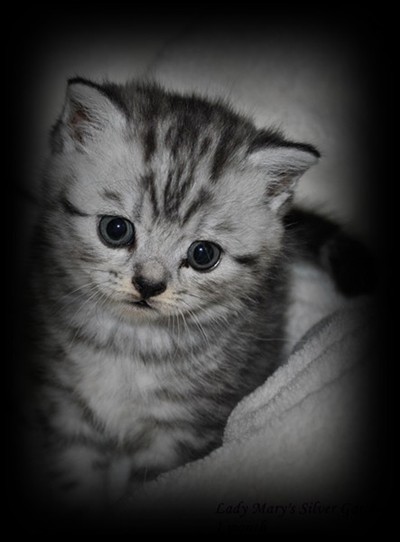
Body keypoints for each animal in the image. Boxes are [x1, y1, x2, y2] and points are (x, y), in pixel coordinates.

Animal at [20, 77, 368, 516]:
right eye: (115, 229)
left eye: (203, 255)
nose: (149, 285)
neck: (131, 343)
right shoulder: (65, 406)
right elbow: (74, 474)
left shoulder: (186, 427)